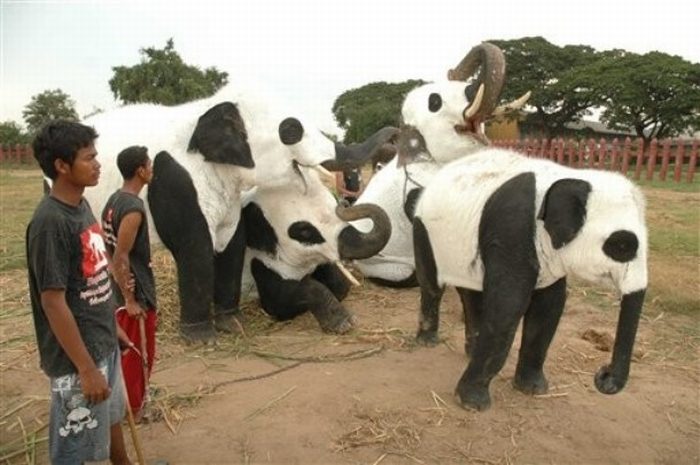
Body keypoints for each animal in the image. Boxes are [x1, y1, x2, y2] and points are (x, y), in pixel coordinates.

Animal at [84, 84, 396, 340]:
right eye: (291, 130)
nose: (394, 133)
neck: (207, 109)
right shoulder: (173, 180)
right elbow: (198, 248)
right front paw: (202, 339)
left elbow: (231, 241)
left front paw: (233, 326)